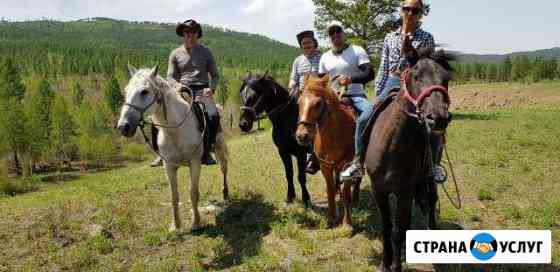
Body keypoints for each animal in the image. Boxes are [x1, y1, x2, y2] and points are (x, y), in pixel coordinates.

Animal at [116, 65, 230, 232]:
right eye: (126, 90)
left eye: (144, 91)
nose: (123, 126)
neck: (175, 130)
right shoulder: (168, 165)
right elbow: (173, 196)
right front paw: (175, 225)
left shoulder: (195, 163)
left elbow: (193, 193)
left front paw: (196, 223)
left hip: (220, 148)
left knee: (224, 169)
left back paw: (226, 193)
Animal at [238, 72, 312, 206]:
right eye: (241, 95)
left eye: (254, 96)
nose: (243, 124)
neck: (288, 119)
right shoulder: (283, 152)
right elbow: (289, 174)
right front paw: (290, 197)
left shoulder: (301, 153)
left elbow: (301, 176)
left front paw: (306, 199)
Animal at [294, 75, 364, 227]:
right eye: (299, 102)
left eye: (318, 103)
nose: (302, 136)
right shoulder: (325, 166)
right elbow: (330, 189)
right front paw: (331, 218)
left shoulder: (347, 165)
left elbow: (346, 192)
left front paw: (347, 223)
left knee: (358, 179)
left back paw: (356, 200)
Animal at [364, 47, 456, 272]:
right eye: (416, 75)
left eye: (446, 79)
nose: (438, 118)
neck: (391, 146)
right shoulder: (378, 188)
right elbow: (386, 227)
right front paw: (385, 263)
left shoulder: (404, 191)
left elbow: (398, 230)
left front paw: (396, 266)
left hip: (429, 177)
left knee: (431, 202)